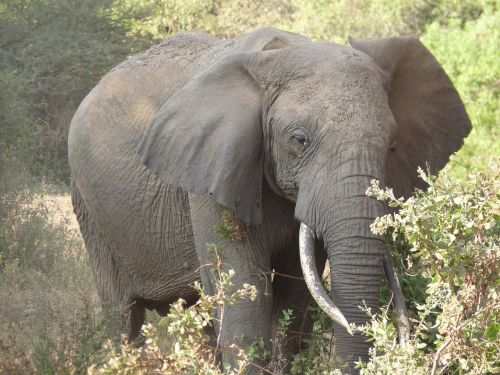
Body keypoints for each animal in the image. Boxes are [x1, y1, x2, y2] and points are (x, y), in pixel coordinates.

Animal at [68, 28, 470, 374]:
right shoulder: (213, 170)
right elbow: (243, 292)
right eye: (299, 140)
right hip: (90, 212)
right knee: (122, 316)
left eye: (392, 146)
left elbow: (295, 292)